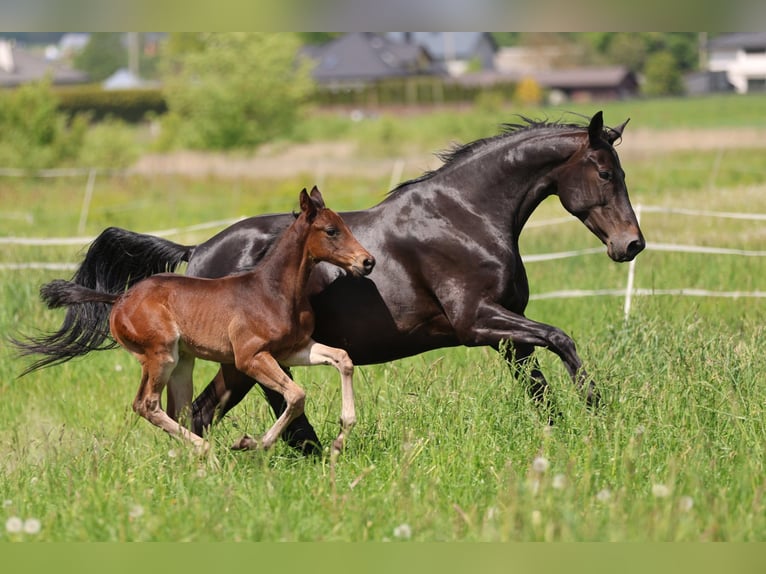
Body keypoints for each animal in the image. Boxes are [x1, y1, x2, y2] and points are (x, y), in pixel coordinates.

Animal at [31, 187, 375, 453]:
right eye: (331, 231)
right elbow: (296, 395)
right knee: (147, 404)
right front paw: (252, 443)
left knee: (180, 411)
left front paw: (342, 433)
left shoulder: (292, 349)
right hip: (161, 355)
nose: (367, 261)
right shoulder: (250, 357)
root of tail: (118, 300)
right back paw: (206, 450)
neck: (273, 290)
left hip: (182, 362)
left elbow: (342, 359)